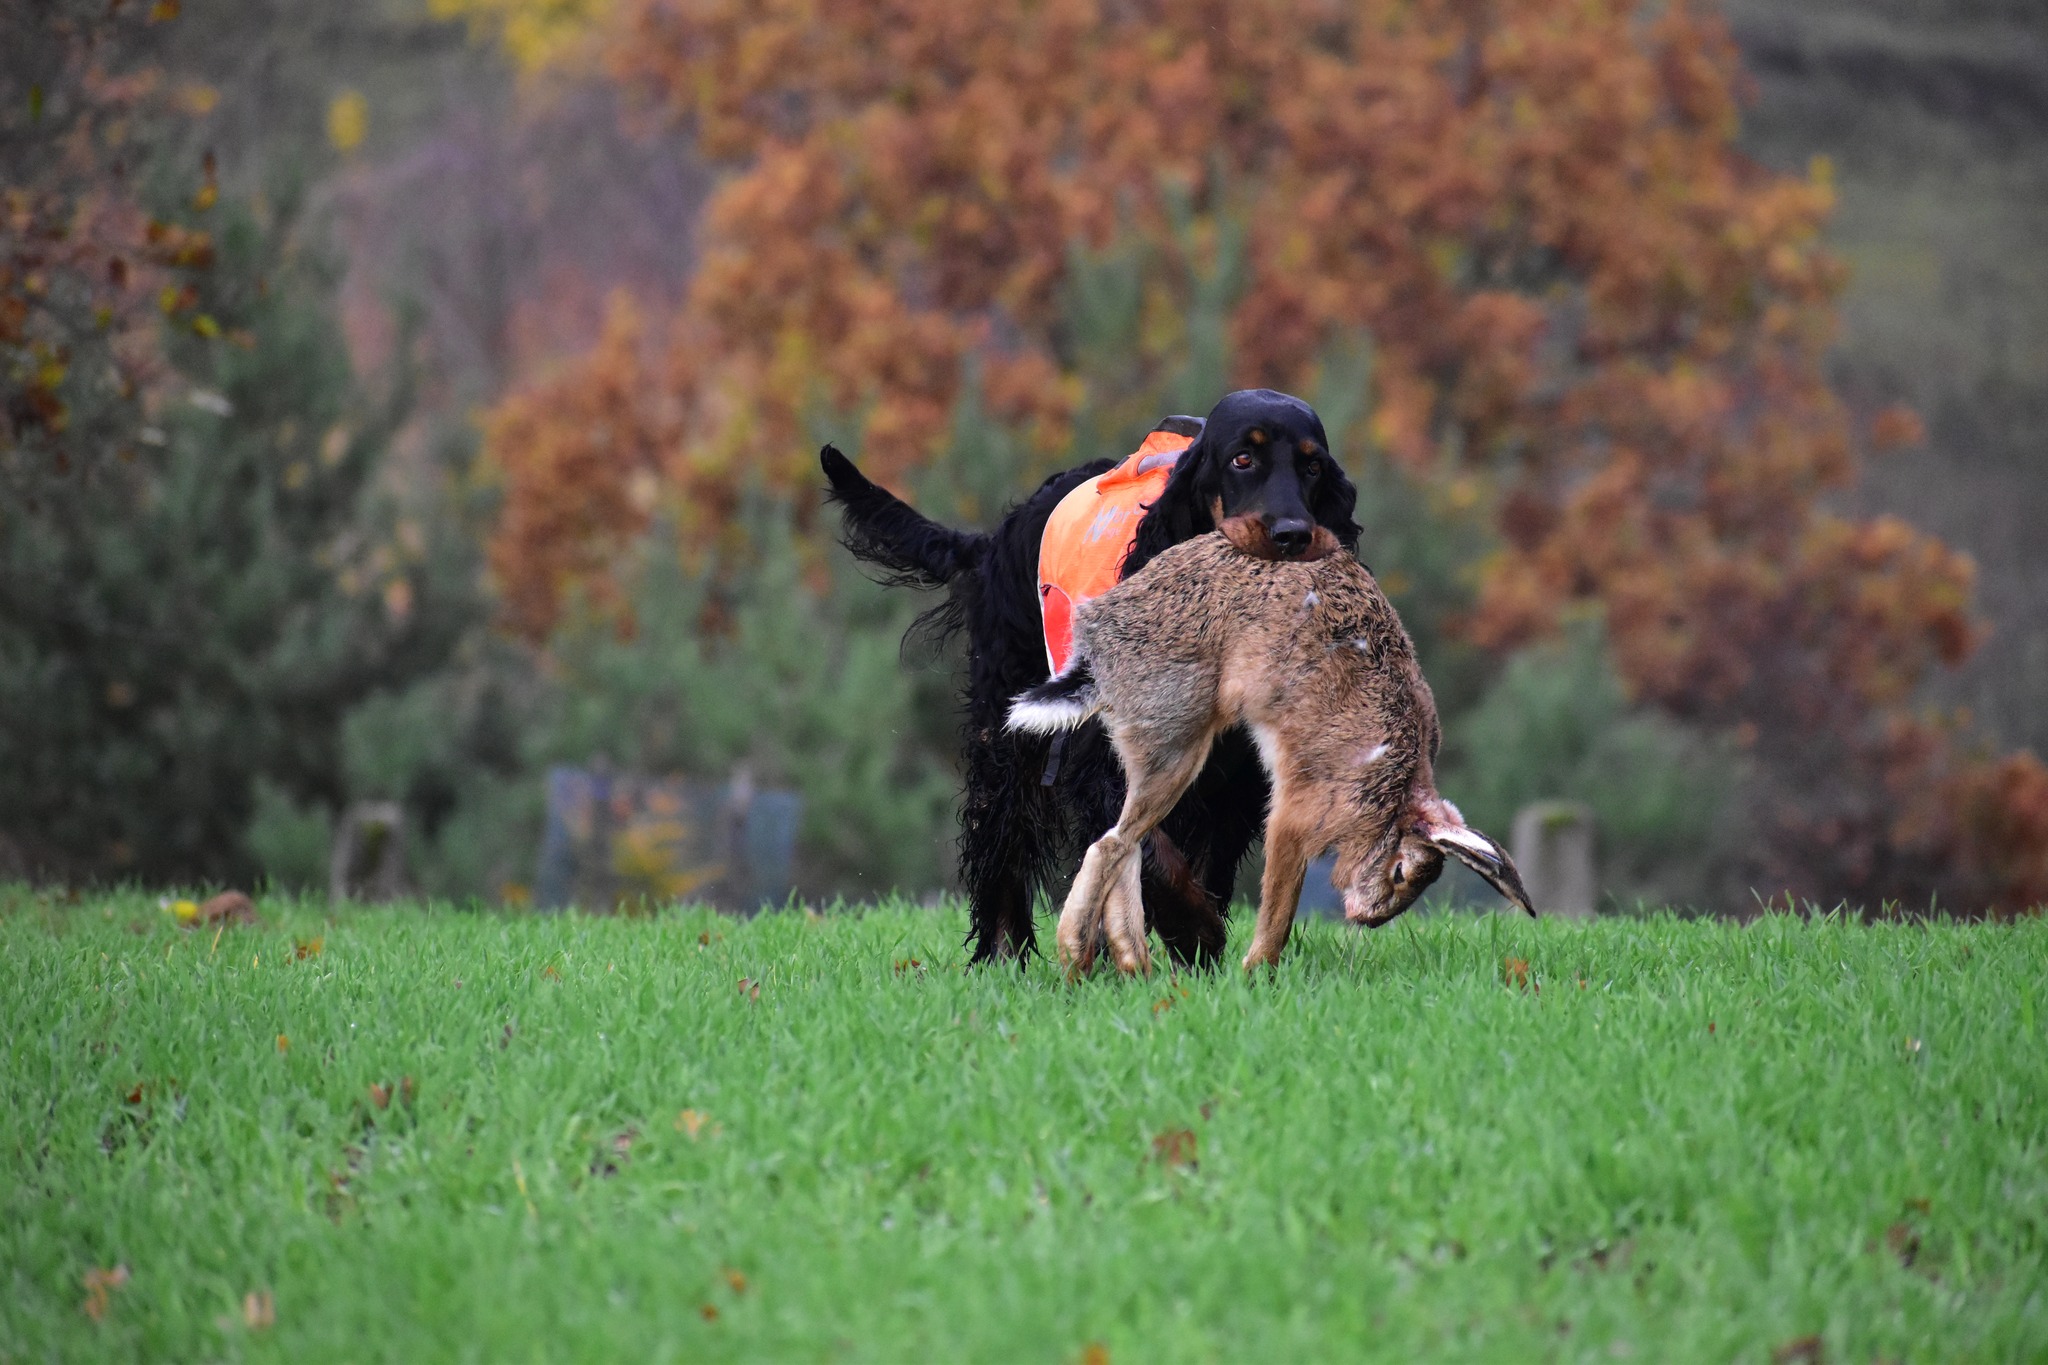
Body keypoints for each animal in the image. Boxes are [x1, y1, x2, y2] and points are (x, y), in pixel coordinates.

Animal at [820, 388, 1361, 966]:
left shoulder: (1233, 775)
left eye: (1312, 466)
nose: (1293, 536)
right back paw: (1003, 953)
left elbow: (1198, 860)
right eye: (1243, 459)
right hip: (1006, 729)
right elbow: (1147, 848)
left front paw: (1197, 954)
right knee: (1000, 836)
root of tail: (999, 539)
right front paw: (1196, 932)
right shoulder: (1099, 760)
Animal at [1007, 523, 1534, 976]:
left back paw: (1132, 964)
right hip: (1175, 745)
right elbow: (1280, 905)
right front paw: (1255, 971)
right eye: (1403, 872)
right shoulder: (1295, 816)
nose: (1366, 917)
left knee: (1123, 843)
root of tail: (1095, 642)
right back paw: (1080, 959)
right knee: (1111, 844)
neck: (1394, 794)